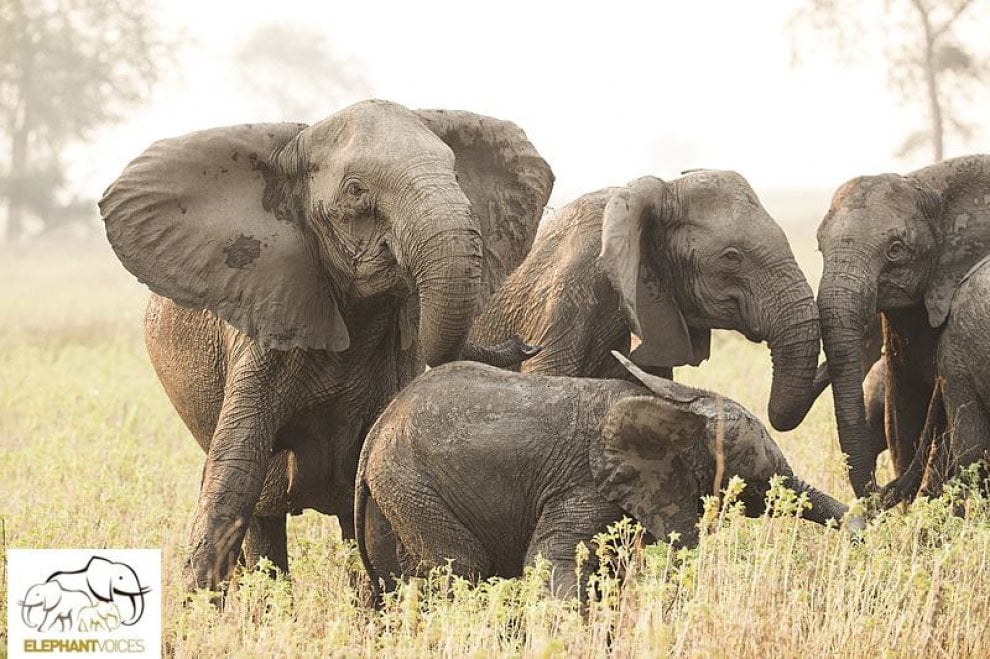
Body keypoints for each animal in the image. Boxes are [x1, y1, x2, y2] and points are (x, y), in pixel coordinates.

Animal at [99, 100, 554, 590]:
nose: (525, 343)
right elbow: (237, 473)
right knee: (263, 514)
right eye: (356, 191)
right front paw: (199, 601)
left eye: (455, 174)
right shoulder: (263, 323)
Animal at [355, 352, 852, 601]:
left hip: (394, 494)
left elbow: (608, 575)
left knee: (400, 581)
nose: (863, 534)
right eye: (756, 477)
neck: (674, 409)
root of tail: (378, 429)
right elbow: (552, 563)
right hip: (413, 484)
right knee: (461, 566)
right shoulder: (586, 486)